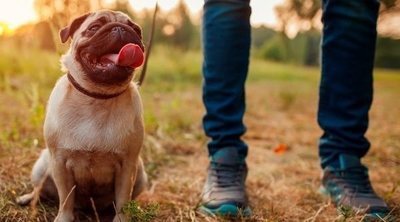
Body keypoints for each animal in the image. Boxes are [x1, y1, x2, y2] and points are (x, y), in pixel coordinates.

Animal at [16, 9, 148, 221]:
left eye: (136, 30)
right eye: (94, 27)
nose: (120, 29)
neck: (97, 97)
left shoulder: (128, 166)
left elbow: (123, 200)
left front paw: (122, 218)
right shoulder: (60, 163)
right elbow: (66, 197)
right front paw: (64, 218)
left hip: (141, 173)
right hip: (42, 165)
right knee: (40, 190)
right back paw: (28, 198)